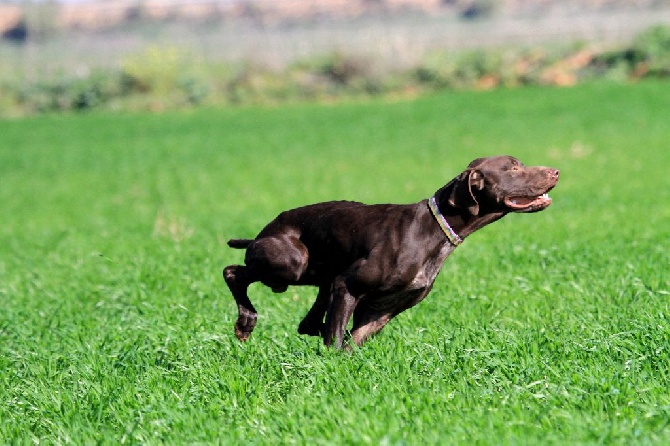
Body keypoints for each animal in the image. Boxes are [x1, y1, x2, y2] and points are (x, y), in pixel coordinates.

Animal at [223, 156, 560, 348]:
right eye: (514, 168)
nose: (556, 171)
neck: (431, 231)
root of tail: (262, 232)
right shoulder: (348, 287)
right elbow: (336, 341)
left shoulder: (381, 311)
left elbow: (349, 343)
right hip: (293, 262)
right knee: (232, 272)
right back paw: (245, 322)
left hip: (321, 273)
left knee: (307, 322)